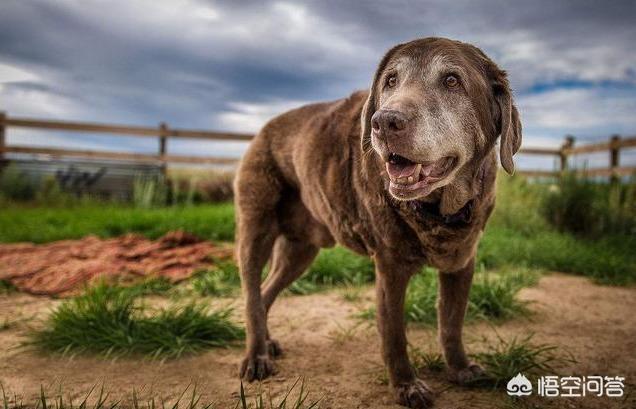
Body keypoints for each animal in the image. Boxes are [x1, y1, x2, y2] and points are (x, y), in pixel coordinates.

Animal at [234, 36, 520, 406]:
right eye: (391, 81)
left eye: (452, 81)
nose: (384, 122)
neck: (438, 210)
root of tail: (263, 129)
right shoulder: (389, 267)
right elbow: (394, 334)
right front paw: (406, 386)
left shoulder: (462, 262)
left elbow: (452, 323)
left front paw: (460, 369)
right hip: (255, 229)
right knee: (251, 293)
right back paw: (256, 356)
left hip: (299, 252)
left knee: (266, 292)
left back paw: (267, 343)